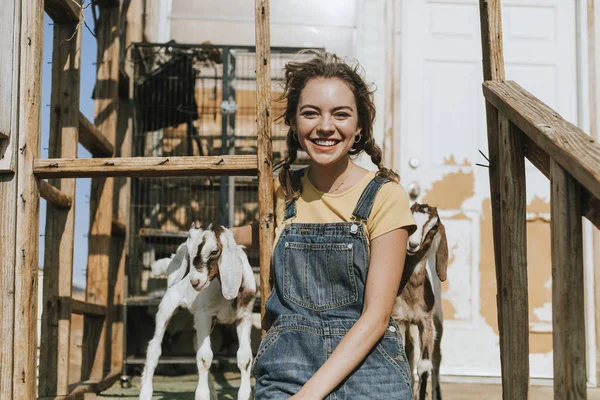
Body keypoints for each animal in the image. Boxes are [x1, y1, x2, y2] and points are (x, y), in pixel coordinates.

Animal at [140, 225, 255, 400]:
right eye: (189, 253)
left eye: (214, 252)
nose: (194, 282)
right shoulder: (203, 316)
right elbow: (204, 357)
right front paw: (202, 395)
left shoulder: (244, 316)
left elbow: (244, 357)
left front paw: (244, 394)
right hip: (168, 305)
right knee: (154, 347)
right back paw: (145, 393)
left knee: (196, 342)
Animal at [392, 205, 448, 398]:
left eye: (434, 227)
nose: (412, 245)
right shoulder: (399, 318)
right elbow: (403, 354)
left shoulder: (426, 321)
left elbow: (424, 366)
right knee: (409, 348)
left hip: (438, 319)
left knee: (437, 357)